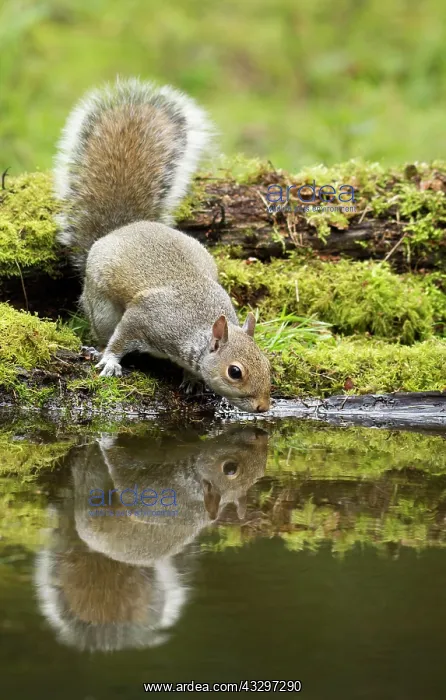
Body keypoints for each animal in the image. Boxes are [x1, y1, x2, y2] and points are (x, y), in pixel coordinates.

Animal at [54, 78, 271, 413]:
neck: (197, 327)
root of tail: (124, 228)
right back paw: (97, 347)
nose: (264, 407)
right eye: (235, 372)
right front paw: (110, 361)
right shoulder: (146, 317)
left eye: (267, 363)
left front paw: (193, 380)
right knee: (103, 329)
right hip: (100, 305)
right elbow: (121, 339)